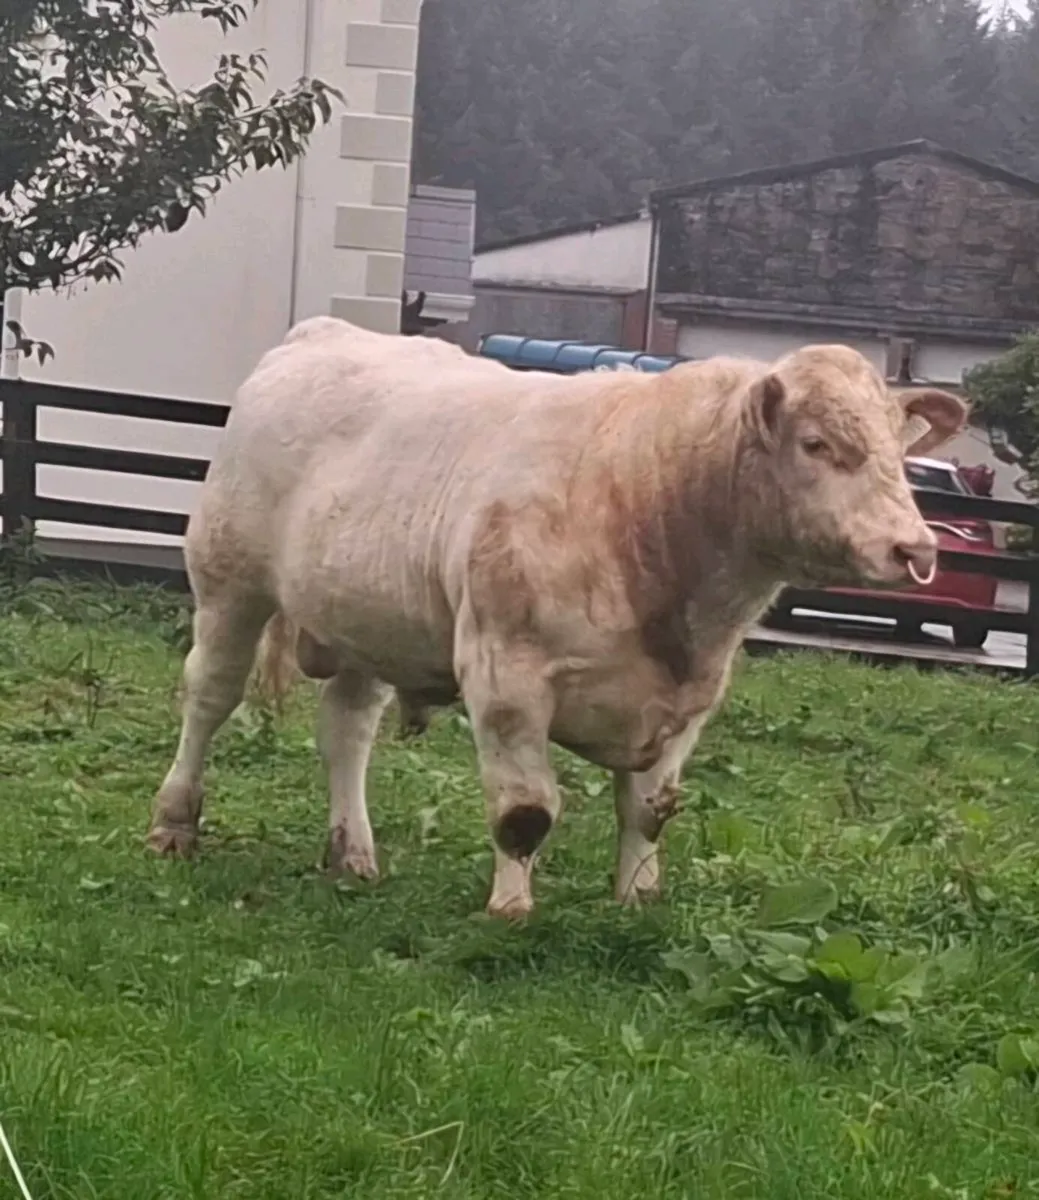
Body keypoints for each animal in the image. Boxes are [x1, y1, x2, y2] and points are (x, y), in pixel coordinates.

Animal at [147, 317, 967, 918]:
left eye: (897, 451)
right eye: (816, 443)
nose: (915, 548)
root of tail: (321, 331)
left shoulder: (692, 703)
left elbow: (649, 812)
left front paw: (635, 902)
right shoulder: (504, 676)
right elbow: (526, 812)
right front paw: (510, 911)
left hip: (368, 623)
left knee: (345, 730)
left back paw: (353, 854)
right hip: (228, 582)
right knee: (209, 696)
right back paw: (174, 824)